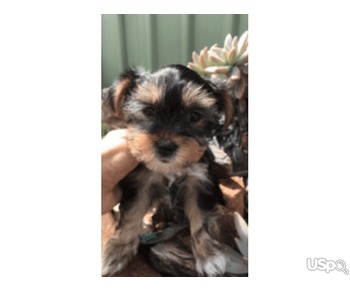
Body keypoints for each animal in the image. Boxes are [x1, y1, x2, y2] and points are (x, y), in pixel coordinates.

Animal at [101, 64, 232, 276]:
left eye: (194, 116)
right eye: (148, 111)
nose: (166, 146)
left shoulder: (199, 181)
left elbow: (201, 217)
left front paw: (209, 256)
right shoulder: (141, 182)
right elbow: (132, 214)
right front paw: (117, 251)